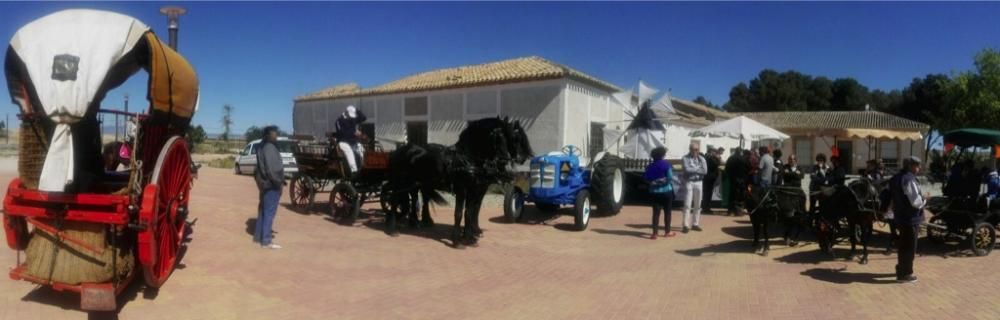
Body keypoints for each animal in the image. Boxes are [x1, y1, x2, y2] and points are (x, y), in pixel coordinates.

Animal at [386, 117, 536, 248]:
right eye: (498, 137)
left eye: (508, 138)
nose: (506, 159)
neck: (468, 160)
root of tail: (398, 151)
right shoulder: (462, 189)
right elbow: (459, 213)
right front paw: (458, 240)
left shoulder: (475, 189)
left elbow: (471, 211)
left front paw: (471, 237)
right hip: (400, 183)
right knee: (394, 200)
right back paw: (392, 229)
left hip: (415, 183)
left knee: (418, 198)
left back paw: (418, 222)